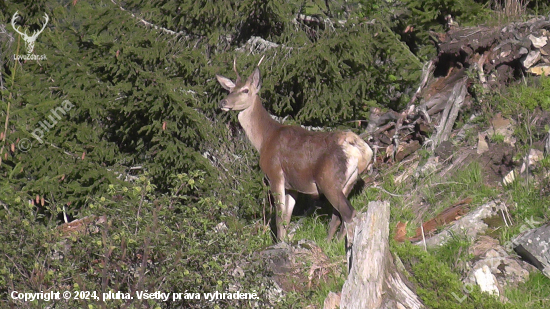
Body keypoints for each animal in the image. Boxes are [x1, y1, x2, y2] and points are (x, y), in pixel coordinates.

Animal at [216, 57, 376, 241]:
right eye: (230, 89)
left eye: (245, 90)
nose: (223, 102)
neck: (265, 139)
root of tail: (360, 148)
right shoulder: (292, 186)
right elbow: (286, 217)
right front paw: (284, 240)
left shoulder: (275, 173)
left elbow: (279, 217)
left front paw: (278, 242)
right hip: (349, 180)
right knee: (337, 216)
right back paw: (329, 242)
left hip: (328, 179)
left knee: (349, 213)